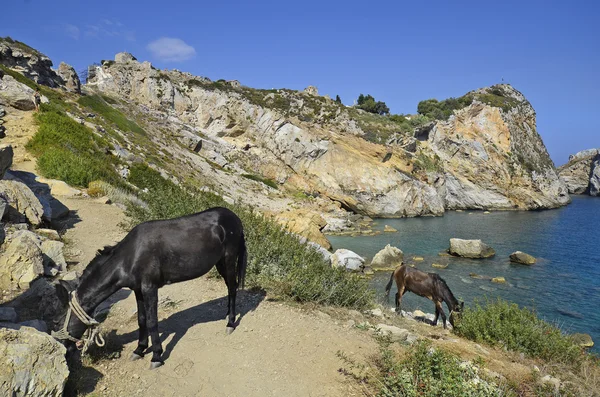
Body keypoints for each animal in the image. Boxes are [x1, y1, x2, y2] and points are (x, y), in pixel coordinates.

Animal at [52, 207, 246, 368]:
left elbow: (152, 322)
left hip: (229, 260)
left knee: (232, 287)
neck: (129, 257)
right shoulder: (138, 290)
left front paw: (156, 356)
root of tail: (234, 217)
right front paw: (140, 349)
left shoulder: (149, 288)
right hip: (219, 263)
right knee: (230, 287)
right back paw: (227, 315)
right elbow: (142, 319)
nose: (63, 349)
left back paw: (230, 323)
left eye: (59, 320)